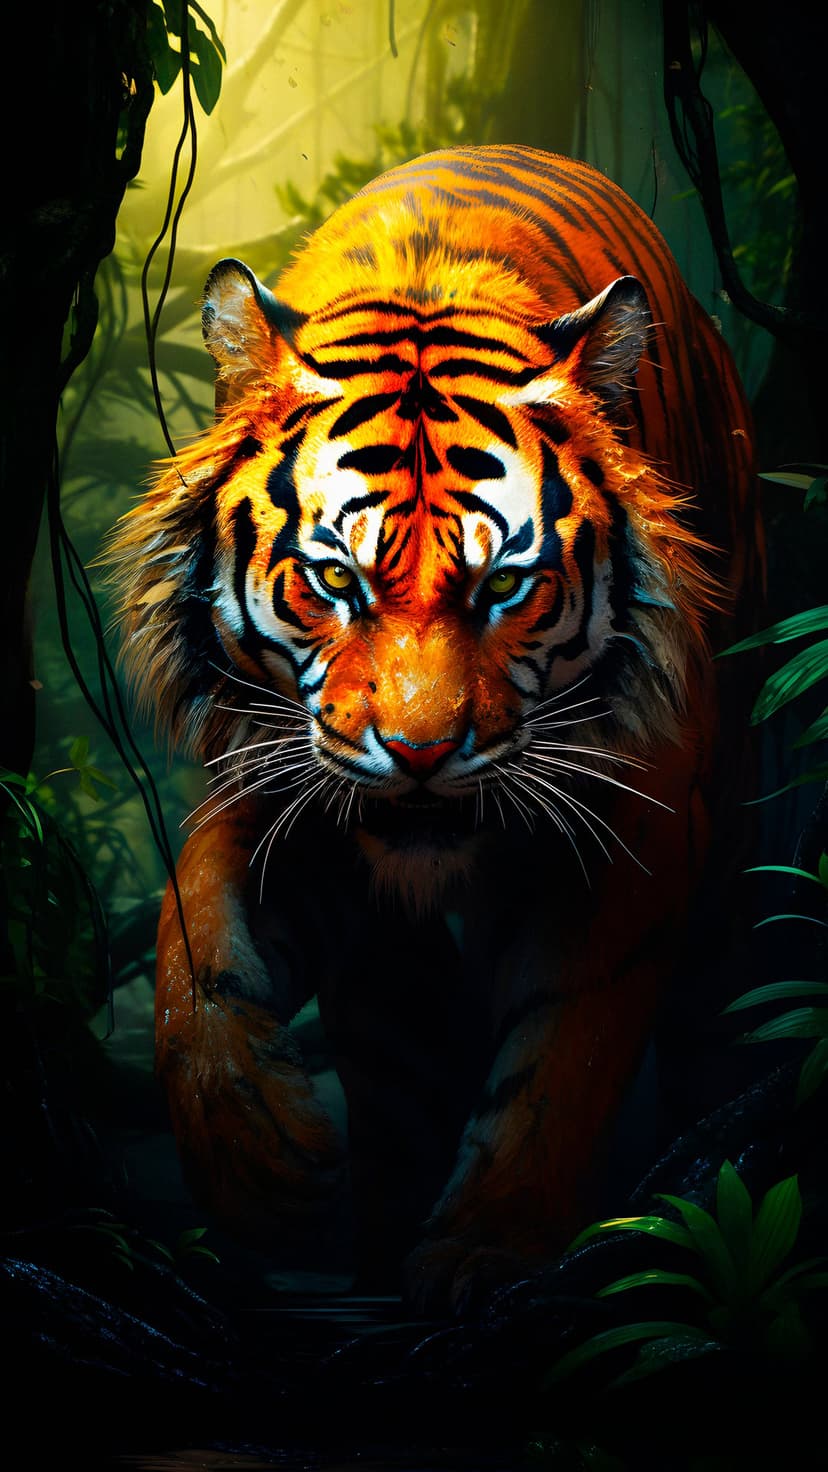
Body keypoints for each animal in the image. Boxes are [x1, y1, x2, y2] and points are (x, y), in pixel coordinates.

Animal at [107, 145, 763, 1315]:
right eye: (336, 580)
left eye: (505, 586)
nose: (420, 754)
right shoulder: (277, 780)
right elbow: (194, 945)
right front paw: (261, 1161)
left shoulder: (639, 819)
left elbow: (565, 1050)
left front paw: (486, 1250)